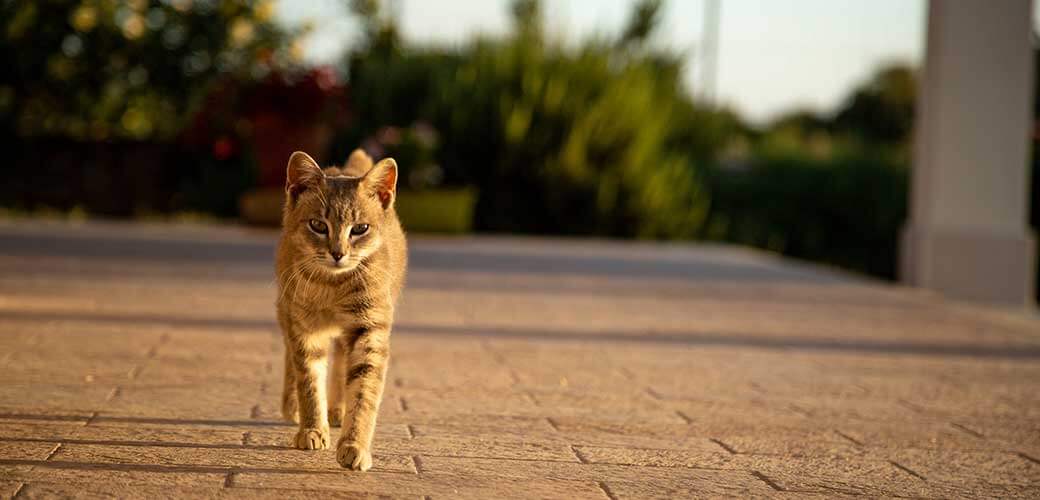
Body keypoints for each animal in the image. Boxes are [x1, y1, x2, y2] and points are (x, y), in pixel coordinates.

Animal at [276, 146, 405, 469]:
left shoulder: (369, 330)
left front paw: (354, 444)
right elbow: (309, 381)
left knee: (341, 359)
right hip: (285, 311)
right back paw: (295, 406)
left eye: (360, 229)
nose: (338, 253)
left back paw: (337, 409)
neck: (332, 286)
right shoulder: (303, 330)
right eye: (318, 225)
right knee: (291, 359)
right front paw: (311, 428)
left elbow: (363, 392)